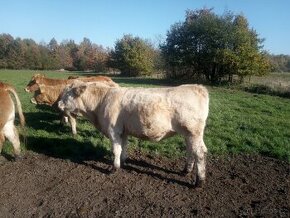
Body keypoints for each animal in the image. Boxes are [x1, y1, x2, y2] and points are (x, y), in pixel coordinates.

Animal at [58, 82, 208, 187]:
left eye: (67, 94)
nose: (58, 103)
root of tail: (197, 87)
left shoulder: (113, 130)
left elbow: (116, 150)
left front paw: (114, 168)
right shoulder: (123, 131)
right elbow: (123, 147)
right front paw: (123, 161)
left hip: (193, 132)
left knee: (199, 153)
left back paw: (199, 182)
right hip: (189, 134)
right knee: (190, 151)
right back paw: (186, 170)